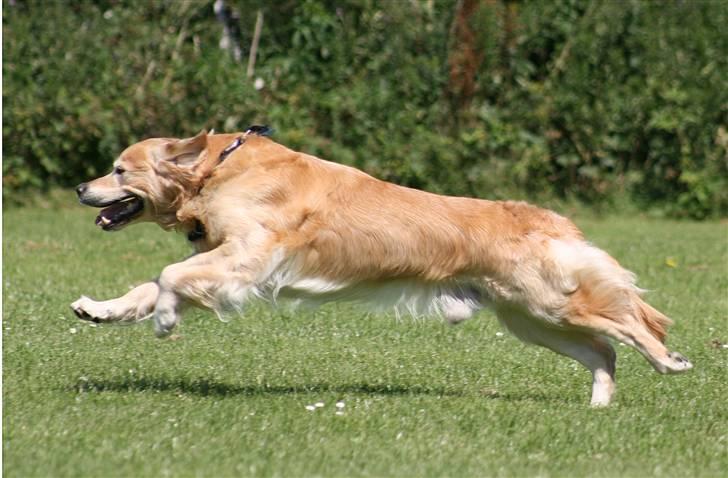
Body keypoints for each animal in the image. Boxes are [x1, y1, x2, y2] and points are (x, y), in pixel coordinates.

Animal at [72, 128, 692, 408]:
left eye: (119, 170)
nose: (80, 188)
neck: (216, 169)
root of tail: (552, 219)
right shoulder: (223, 258)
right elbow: (149, 284)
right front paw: (100, 309)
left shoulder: (246, 258)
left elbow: (169, 279)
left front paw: (166, 320)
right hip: (529, 319)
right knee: (604, 351)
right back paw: (598, 405)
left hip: (550, 302)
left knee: (631, 325)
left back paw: (670, 361)